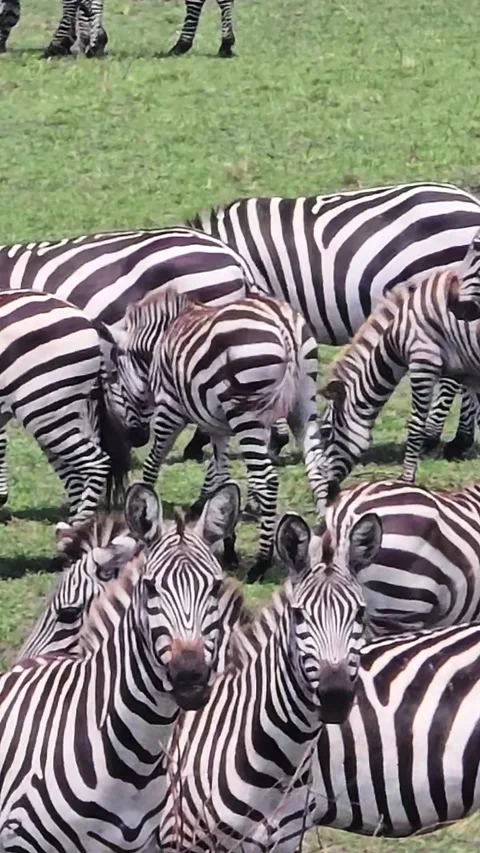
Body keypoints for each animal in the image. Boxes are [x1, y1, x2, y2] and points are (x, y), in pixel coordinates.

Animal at [0, 289, 130, 524]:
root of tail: (87, 318)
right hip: (61, 410)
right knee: (76, 472)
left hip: (45, 411)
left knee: (95, 463)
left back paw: (79, 524)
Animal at [112, 289, 324, 582]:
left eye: (118, 383)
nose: (134, 438)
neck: (160, 343)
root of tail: (284, 324)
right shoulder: (218, 429)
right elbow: (221, 478)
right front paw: (228, 545)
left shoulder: (170, 410)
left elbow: (153, 463)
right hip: (303, 403)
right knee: (317, 467)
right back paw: (327, 536)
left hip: (247, 414)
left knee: (267, 480)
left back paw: (261, 562)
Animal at [314, 269, 480, 514]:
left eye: (326, 433)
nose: (327, 494)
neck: (397, 333)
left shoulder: (423, 362)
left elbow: (415, 428)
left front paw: (406, 481)